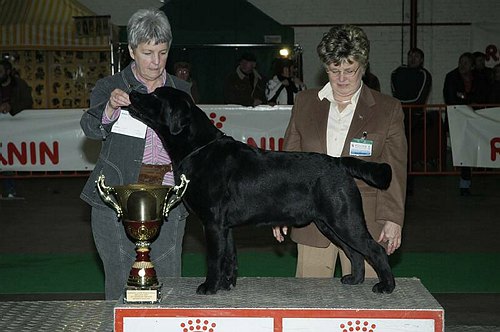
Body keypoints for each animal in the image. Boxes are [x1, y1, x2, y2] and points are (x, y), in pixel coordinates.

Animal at [130, 87, 398, 294]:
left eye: (155, 96)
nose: (133, 91)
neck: (198, 149)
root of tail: (339, 162)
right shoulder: (225, 226)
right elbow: (229, 257)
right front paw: (226, 285)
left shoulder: (213, 222)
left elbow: (214, 258)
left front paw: (210, 287)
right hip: (329, 224)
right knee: (355, 253)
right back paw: (355, 280)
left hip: (344, 219)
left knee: (375, 249)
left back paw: (387, 286)